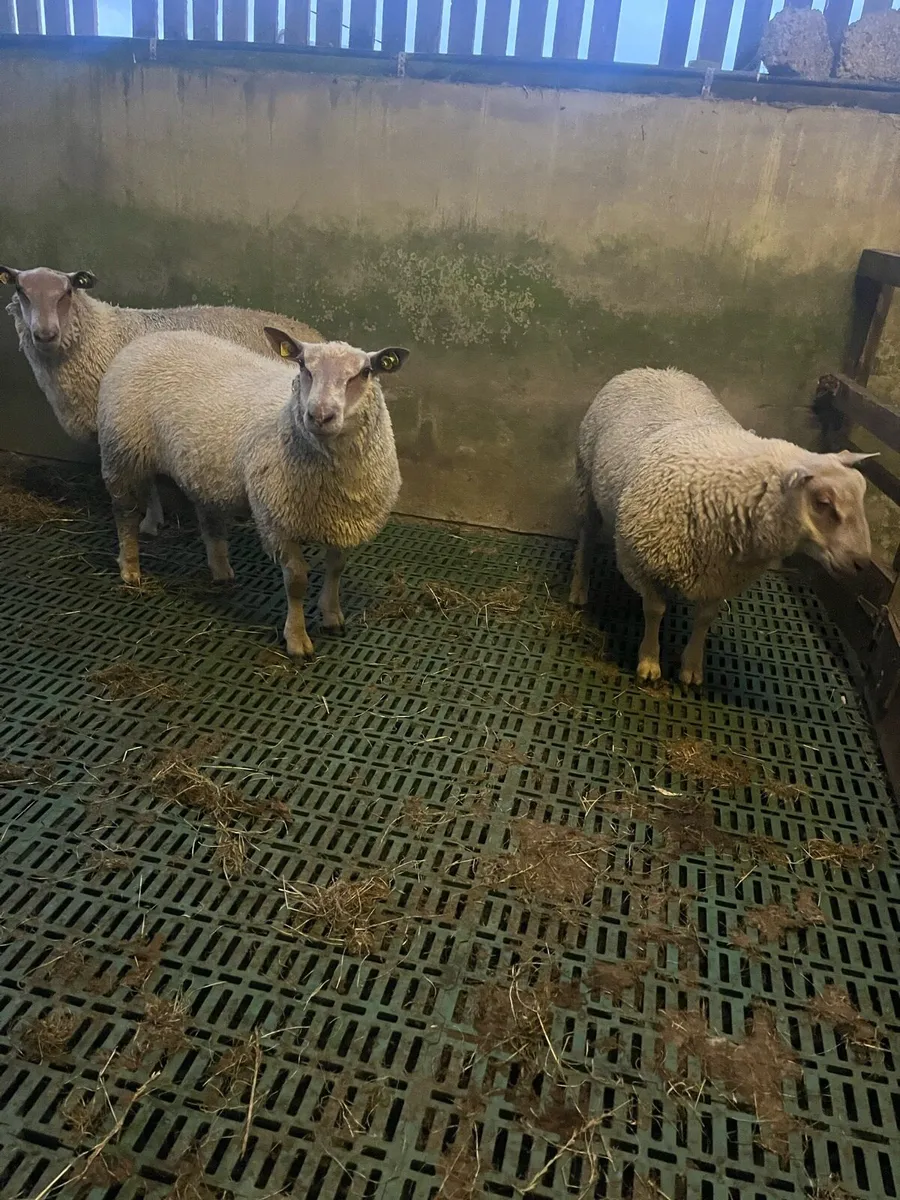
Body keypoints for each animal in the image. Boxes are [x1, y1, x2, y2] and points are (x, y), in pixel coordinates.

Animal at [0, 265, 321, 535]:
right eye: (21, 290)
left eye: (67, 291)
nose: (45, 334)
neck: (98, 335)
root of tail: (309, 333)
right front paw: (153, 519)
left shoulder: (127, 423)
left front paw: (150, 521)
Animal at [97, 328, 408, 658]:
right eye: (303, 365)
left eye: (365, 372)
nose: (319, 416)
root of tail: (149, 338)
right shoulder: (276, 521)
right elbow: (296, 580)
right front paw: (296, 638)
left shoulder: (342, 522)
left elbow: (336, 568)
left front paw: (332, 615)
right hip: (121, 450)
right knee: (125, 513)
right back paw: (130, 567)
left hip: (193, 465)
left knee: (204, 516)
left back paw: (219, 568)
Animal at [569, 368, 875, 687]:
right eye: (823, 502)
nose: (862, 563)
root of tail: (654, 369)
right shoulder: (640, 561)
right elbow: (654, 610)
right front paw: (649, 661)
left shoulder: (721, 573)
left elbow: (704, 618)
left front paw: (691, 667)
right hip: (585, 481)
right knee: (587, 536)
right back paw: (579, 589)